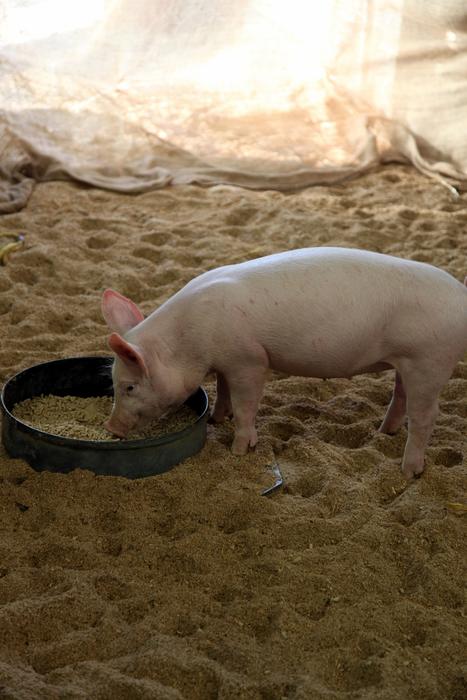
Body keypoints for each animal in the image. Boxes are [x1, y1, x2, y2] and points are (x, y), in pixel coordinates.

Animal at [101, 247, 467, 479]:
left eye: (129, 386)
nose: (111, 428)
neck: (188, 342)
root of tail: (461, 296)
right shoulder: (226, 362)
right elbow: (223, 390)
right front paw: (218, 418)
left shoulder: (249, 360)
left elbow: (246, 405)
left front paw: (238, 450)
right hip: (409, 362)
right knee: (401, 396)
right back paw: (383, 432)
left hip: (429, 359)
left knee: (426, 415)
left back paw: (409, 471)